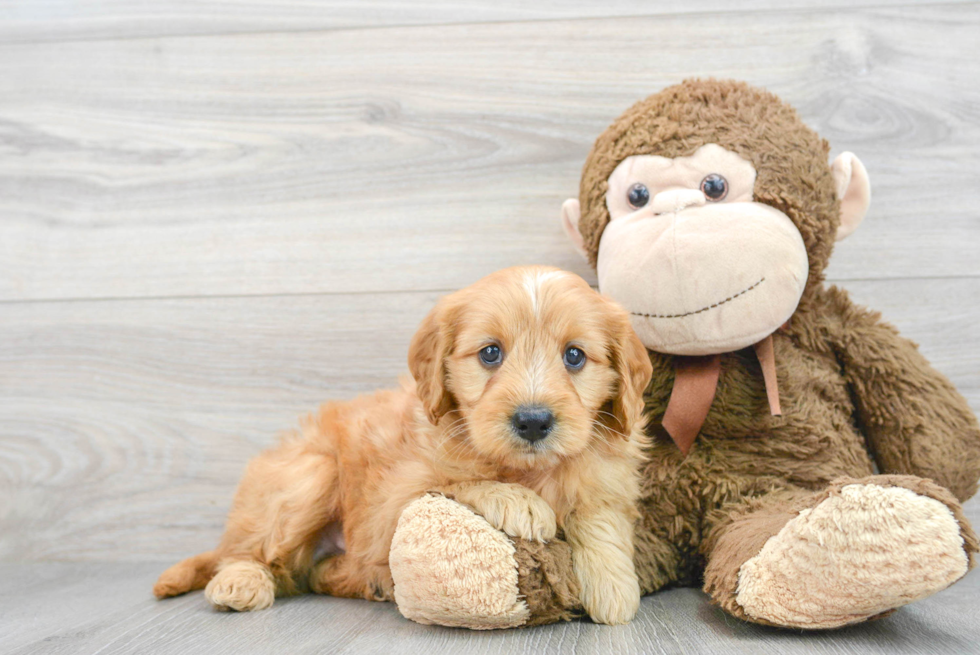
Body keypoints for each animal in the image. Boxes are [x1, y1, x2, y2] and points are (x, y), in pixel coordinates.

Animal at [153, 266, 652, 624]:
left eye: (574, 356)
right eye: (490, 353)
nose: (533, 421)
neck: (528, 468)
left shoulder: (606, 471)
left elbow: (599, 514)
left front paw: (612, 584)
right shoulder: (393, 498)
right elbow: (457, 483)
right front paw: (518, 501)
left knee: (308, 573)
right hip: (307, 476)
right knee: (252, 553)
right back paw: (240, 582)